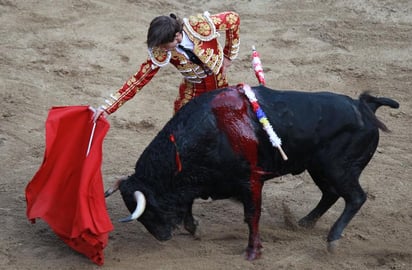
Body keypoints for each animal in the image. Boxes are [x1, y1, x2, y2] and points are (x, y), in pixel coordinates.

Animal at [106, 84, 400, 260]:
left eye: (150, 211)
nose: (162, 237)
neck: (210, 131)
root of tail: (364, 107)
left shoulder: (251, 181)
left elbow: (252, 216)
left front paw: (252, 252)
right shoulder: (196, 180)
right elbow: (187, 203)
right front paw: (195, 229)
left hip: (338, 168)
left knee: (355, 197)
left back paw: (333, 240)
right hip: (318, 168)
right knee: (330, 194)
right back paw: (304, 222)